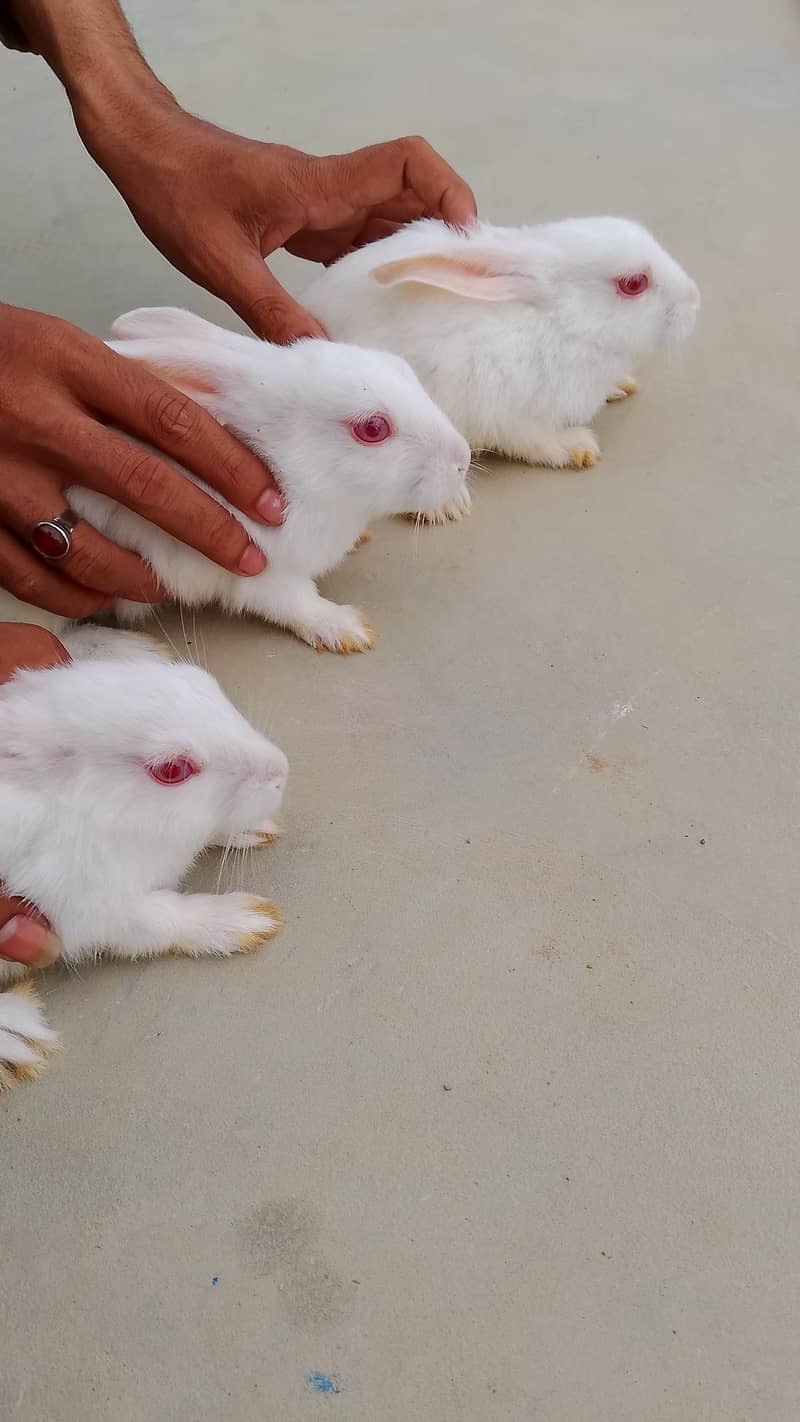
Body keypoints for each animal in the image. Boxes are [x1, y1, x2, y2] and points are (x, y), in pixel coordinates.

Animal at [0, 625, 288, 1089]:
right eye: (172, 770)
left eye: (202, 681)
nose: (282, 771)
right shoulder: (82, 908)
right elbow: (165, 919)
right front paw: (245, 921)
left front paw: (251, 829)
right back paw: (18, 1036)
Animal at [66, 309, 471, 654]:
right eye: (372, 429)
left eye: (402, 367)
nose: (463, 459)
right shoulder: (263, 568)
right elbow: (296, 604)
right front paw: (348, 629)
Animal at [302, 216, 700, 517]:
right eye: (633, 284)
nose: (695, 300)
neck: (564, 327)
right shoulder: (514, 415)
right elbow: (537, 442)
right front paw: (579, 447)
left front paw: (620, 385)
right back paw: (447, 506)